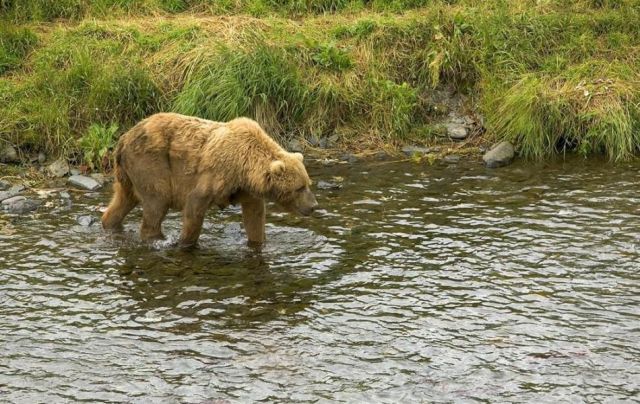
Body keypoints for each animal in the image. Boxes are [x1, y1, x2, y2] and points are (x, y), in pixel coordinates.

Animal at [101, 113, 318, 248]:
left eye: (308, 184)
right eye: (299, 188)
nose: (314, 205)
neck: (244, 168)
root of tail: (123, 139)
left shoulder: (245, 189)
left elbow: (254, 216)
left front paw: (258, 242)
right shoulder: (216, 175)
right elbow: (194, 207)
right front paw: (186, 242)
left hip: (127, 174)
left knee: (123, 200)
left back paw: (109, 223)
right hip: (151, 164)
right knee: (157, 201)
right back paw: (156, 238)